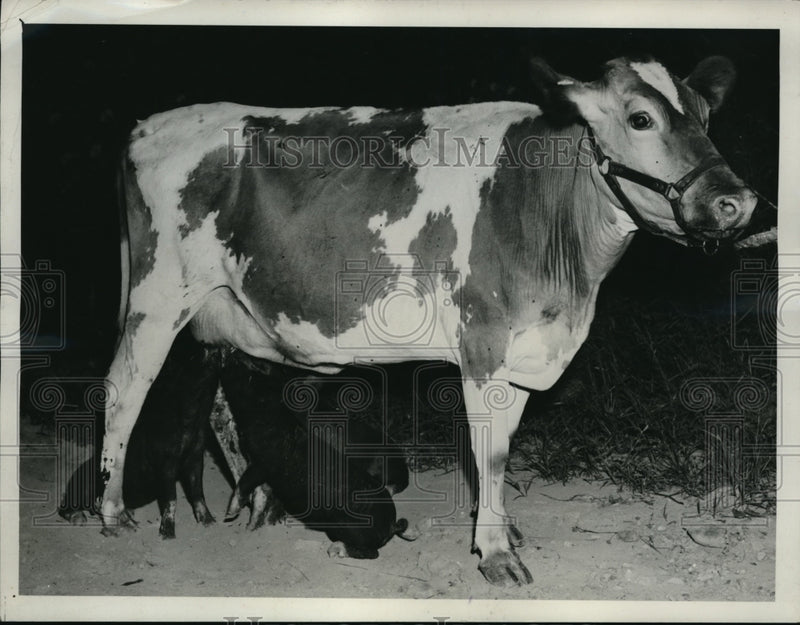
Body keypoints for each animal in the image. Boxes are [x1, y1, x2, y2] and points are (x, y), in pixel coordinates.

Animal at [100, 55, 756, 586]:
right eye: (641, 119)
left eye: (705, 116)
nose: (738, 201)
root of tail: (149, 125)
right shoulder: (483, 340)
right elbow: (489, 450)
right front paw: (496, 554)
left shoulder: (524, 349)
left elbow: (504, 442)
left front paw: (501, 528)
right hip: (159, 294)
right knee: (124, 390)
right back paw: (113, 512)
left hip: (221, 311)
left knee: (219, 406)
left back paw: (257, 504)